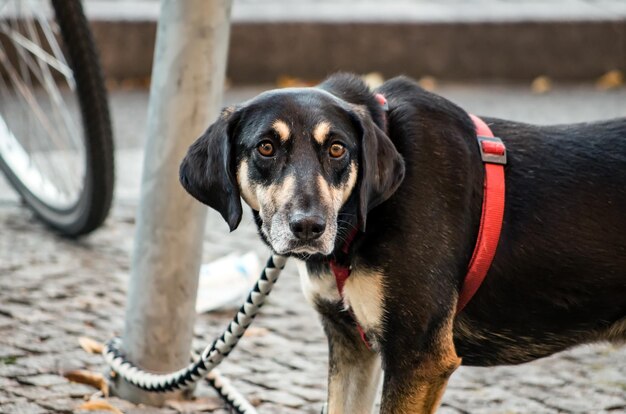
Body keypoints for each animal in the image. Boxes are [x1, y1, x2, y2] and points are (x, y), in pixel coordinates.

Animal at [177, 74, 624, 414]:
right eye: (266, 147)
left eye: (337, 149)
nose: (308, 227)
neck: (362, 221)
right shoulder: (351, 346)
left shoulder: (418, 357)